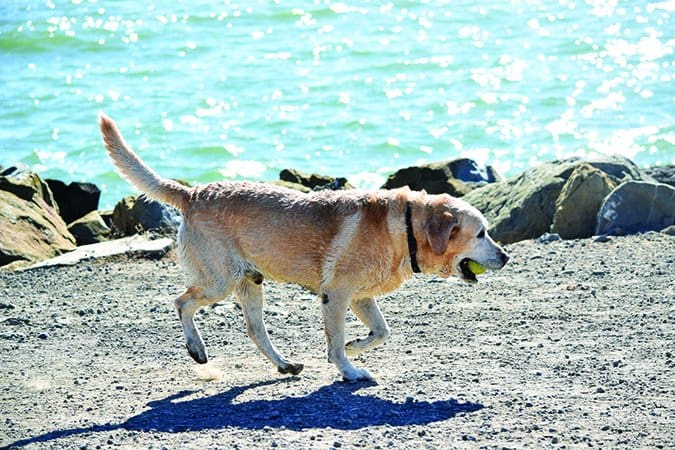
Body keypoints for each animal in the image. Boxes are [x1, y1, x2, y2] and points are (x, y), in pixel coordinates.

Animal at [100, 114, 510, 382]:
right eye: (481, 233)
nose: (506, 256)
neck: (406, 226)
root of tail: (194, 192)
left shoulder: (361, 297)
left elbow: (381, 331)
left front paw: (355, 348)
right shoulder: (338, 295)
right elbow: (338, 339)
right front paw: (347, 368)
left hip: (249, 281)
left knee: (255, 330)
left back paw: (284, 364)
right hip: (219, 279)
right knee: (182, 301)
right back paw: (196, 349)